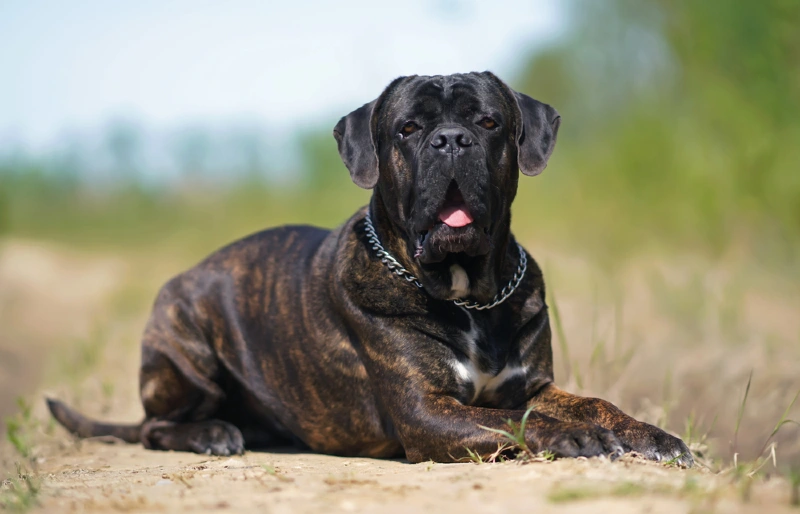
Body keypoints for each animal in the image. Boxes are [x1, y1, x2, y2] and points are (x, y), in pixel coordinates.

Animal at [45, 72, 692, 464]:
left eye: (488, 122)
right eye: (408, 128)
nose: (450, 139)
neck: (468, 294)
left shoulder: (534, 384)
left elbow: (593, 401)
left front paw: (653, 435)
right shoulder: (425, 413)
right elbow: (513, 422)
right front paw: (573, 435)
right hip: (186, 345)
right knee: (154, 427)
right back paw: (212, 433)